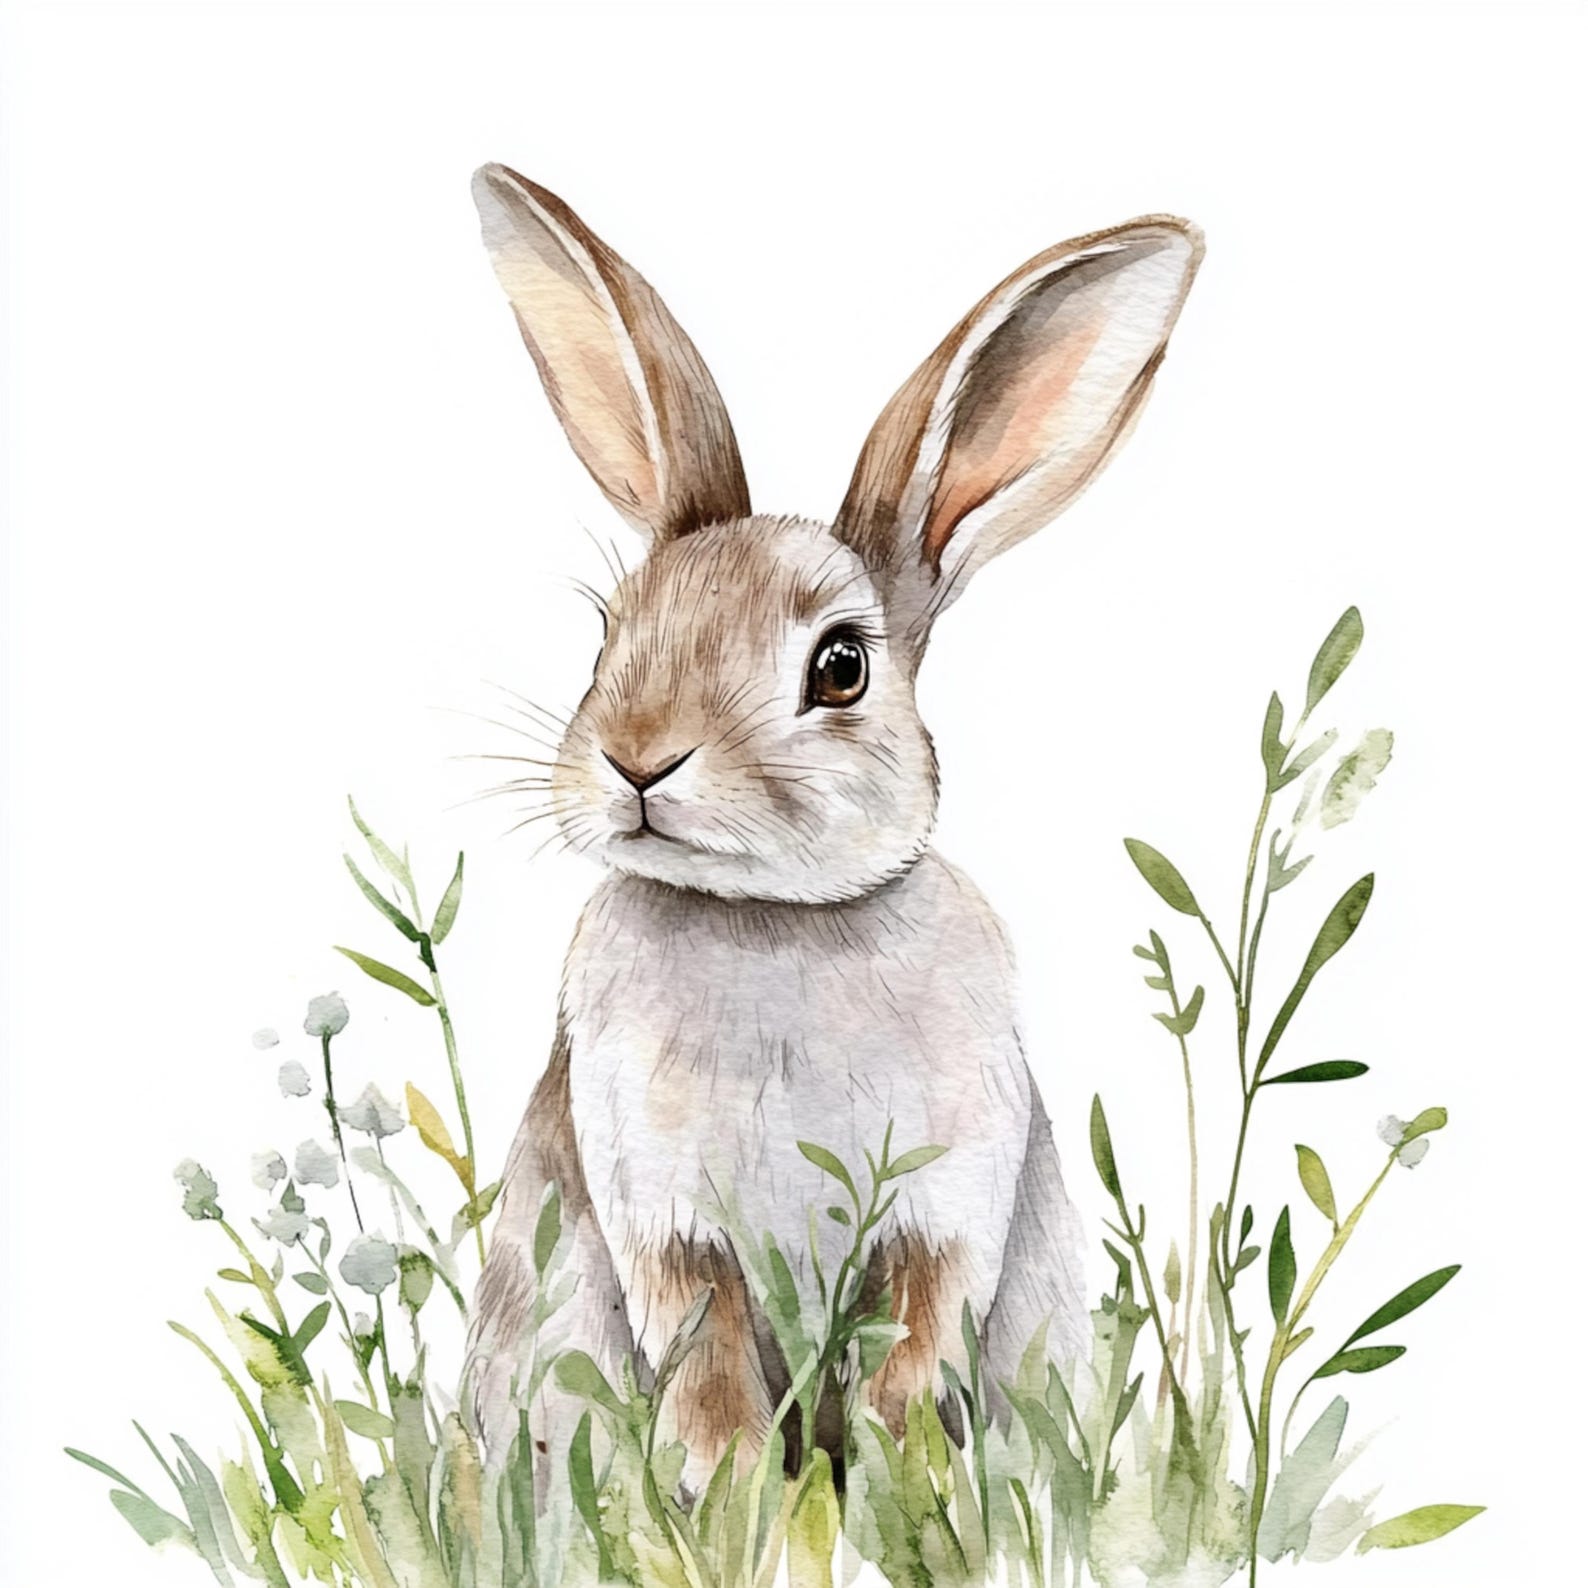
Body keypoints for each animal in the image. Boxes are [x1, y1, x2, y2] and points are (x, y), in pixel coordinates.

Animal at [462, 162, 1203, 1492]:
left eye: (841, 666)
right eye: (609, 629)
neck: (771, 921)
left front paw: (901, 1488)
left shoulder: (943, 1209)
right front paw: (739, 1489)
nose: (636, 757)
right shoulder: (664, 1220)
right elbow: (704, 1361)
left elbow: (911, 1348)